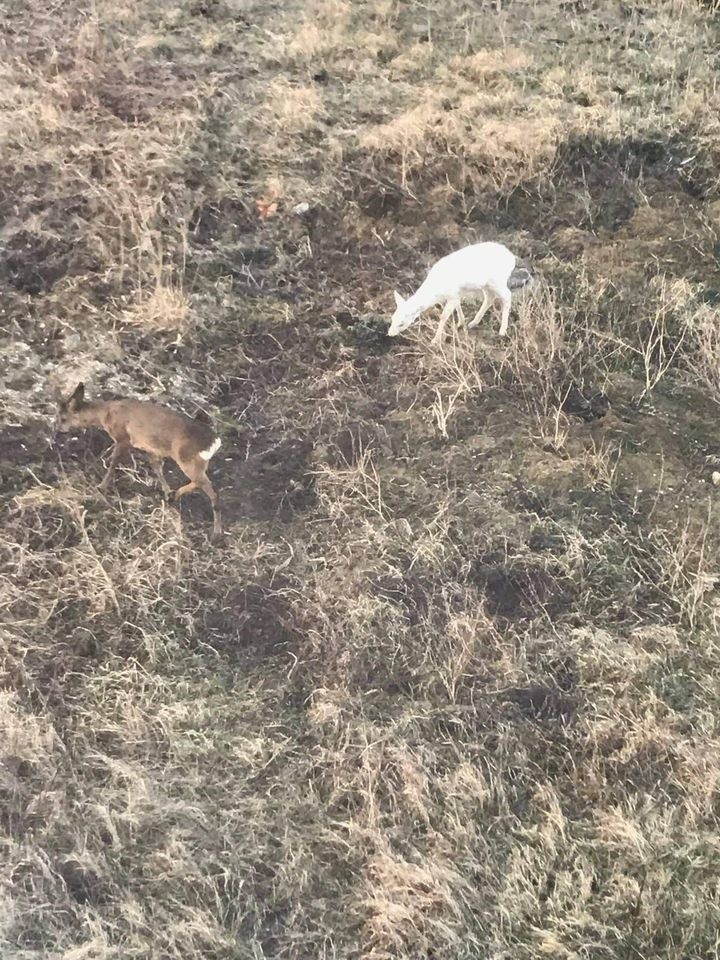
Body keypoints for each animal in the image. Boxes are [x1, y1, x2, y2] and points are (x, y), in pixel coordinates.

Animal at [55, 386, 222, 544]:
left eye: (62, 418)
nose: (58, 429)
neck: (104, 415)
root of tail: (214, 442)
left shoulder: (123, 438)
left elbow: (114, 462)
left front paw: (101, 487)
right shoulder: (152, 448)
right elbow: (156, 466)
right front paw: (167, 492)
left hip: (187, 459)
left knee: (211, 491)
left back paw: (216, 534)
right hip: (195, 462)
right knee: (201, 483)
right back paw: (175, 496)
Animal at [386, 242, 532, 346]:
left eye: (401, 323)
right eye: (392, 318)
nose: (390, 334)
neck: (437, 291)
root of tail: (511, 257)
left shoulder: (452, 294)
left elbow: (444, 316)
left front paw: (435, 340)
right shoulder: (456, 293)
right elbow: (458, 306)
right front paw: (460, 323)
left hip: (498, 281)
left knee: (507, 296)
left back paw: (502, 331)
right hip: (487, 284)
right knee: (489, 298)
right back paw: (473, 323)